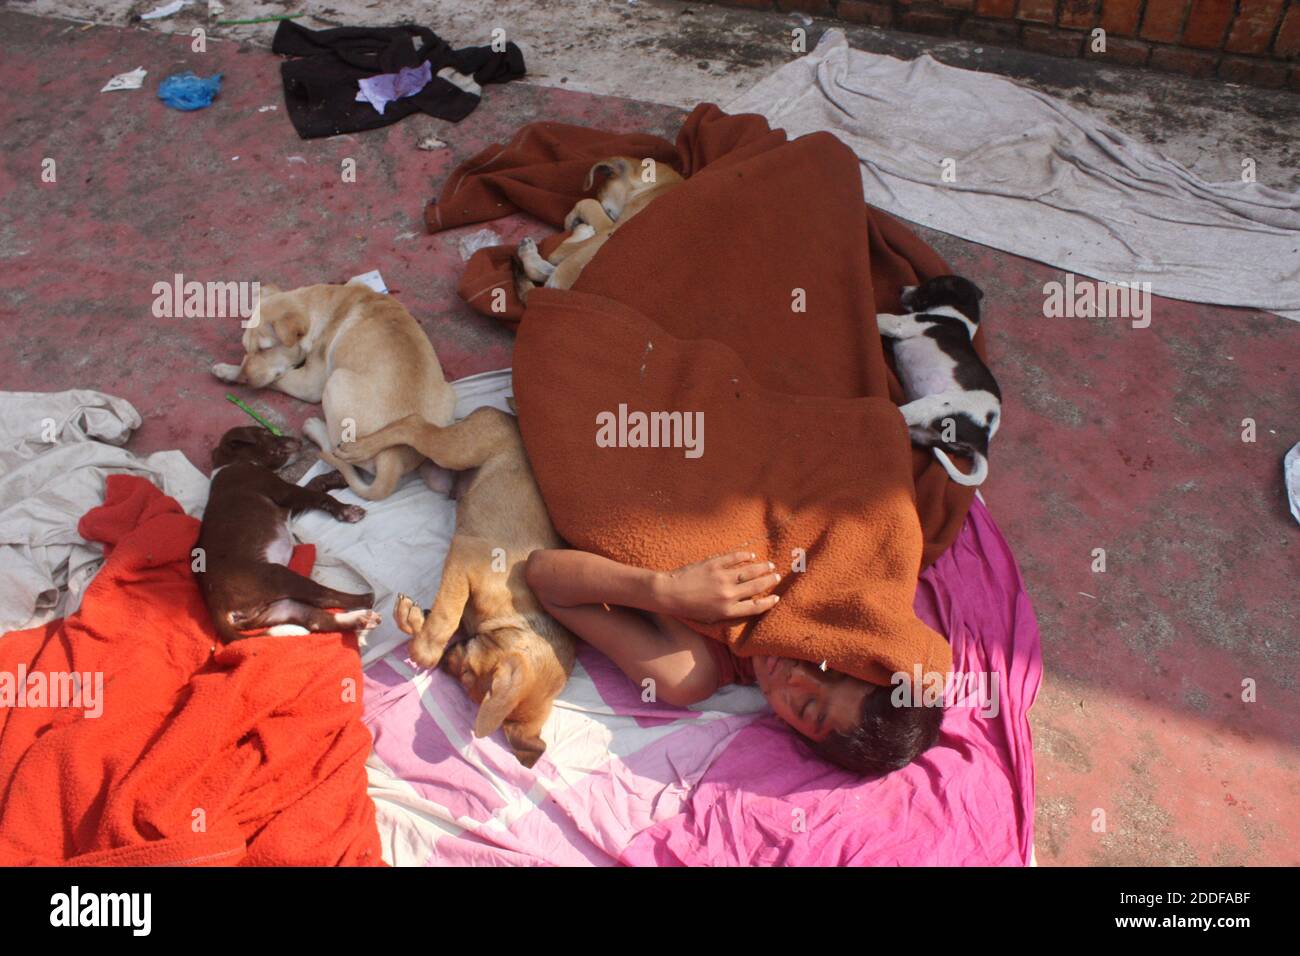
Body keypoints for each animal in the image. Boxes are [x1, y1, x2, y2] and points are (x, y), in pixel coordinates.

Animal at [195, 426, 379, 642]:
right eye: (265, 433)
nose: (299, 440)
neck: (230, 463)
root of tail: (217, 607)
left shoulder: (291, 505)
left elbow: (316, 483)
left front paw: (338, 477)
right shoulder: (284, 491)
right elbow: (320, 496)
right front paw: (347, 510)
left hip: (278, 609)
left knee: (317, 620)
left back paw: (362, 619)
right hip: (278, 577)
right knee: (326, 596)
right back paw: (367, 599)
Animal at [209, 282, 457, 502]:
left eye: (264, 349)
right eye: (245, 347)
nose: (244, 379)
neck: (325, 304)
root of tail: (392, 457)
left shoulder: (310, 384)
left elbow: (277, 378)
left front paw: (229, 371)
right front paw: (233, 371)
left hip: (335, 382)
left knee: (337, 452)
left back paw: (315, 428)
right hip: (449, 394)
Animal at [335, 408, 574, 764]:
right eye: (466, 676)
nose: (446, 662)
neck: (517, 621)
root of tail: (505, 414)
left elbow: (440, 617)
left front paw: (412, 617)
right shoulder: (465, 557)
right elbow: (446, 617)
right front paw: (424, 649)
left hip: (442, 472)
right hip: (458, 449)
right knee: (414, 424)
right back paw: (356, 449)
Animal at [512, 156, 686, 303]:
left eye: (608, 211)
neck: (658, 186)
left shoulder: (611, 227)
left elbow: (587, 203)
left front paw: (571, 219)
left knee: (555, 255)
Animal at [878, 274, 998, 486]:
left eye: (930, 285)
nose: (901, 289)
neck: (957, 317)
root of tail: (984, 437)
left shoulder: (900, 325)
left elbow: (879, 318)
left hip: (934, 405)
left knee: (902, 414)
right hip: (929, 435)